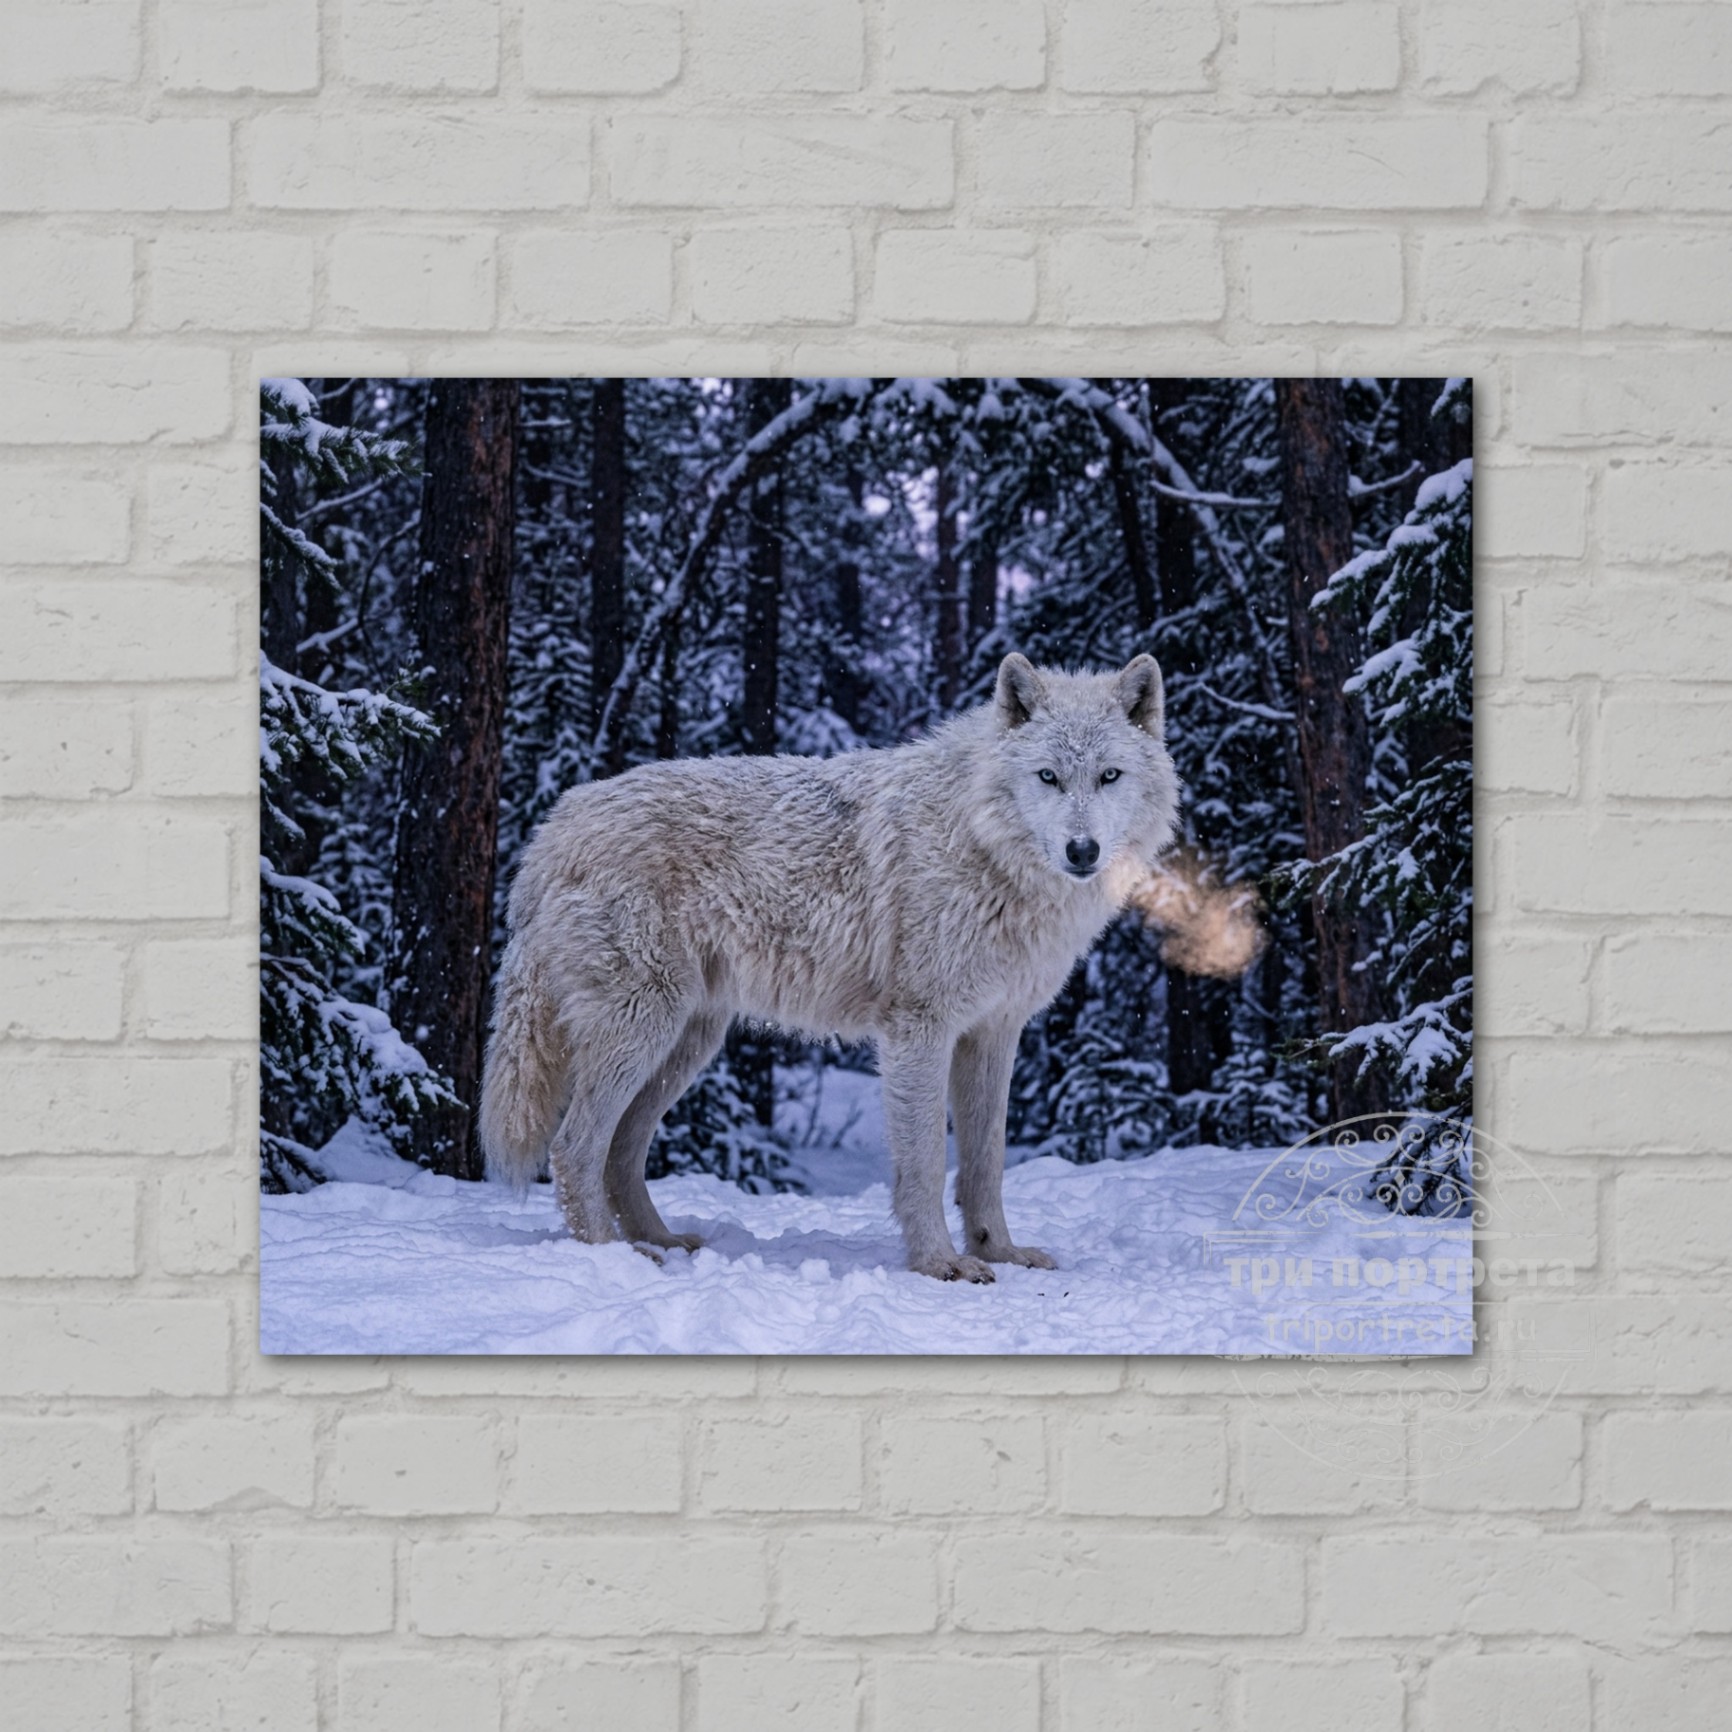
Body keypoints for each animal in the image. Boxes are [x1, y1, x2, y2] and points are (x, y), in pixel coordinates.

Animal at [480, 652, 1180, 1282]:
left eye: (1109, 776)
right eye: (1048, 777)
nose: (1082, 850)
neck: (981, 843)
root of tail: (552, 831)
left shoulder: (993, 1032)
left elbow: (987, 1163)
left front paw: (1001, 1253)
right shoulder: (919, 1030)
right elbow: (926, 1162)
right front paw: (939, 1264)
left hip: (685, 1043)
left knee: (621, 1153)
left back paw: (663, 1242)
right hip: (643, 1030)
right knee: (573, 1149)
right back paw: (612, 1258)